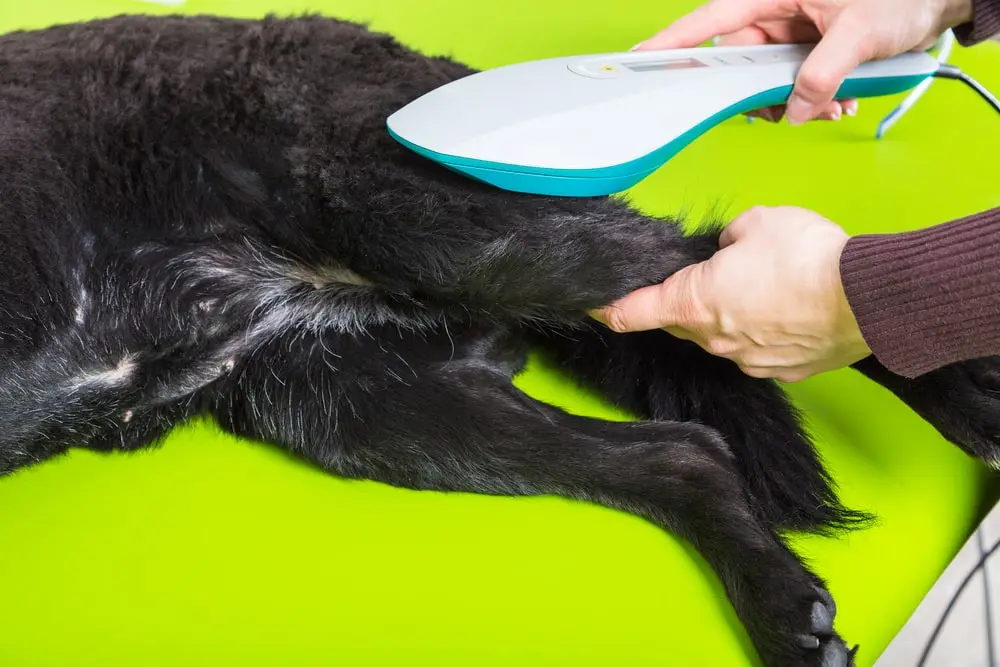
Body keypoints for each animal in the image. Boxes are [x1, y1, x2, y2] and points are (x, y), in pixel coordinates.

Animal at [1, 13, 1000, 664]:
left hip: (439, 222)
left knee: (727, 255)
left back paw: (964, 396)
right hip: (363, 403)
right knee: (686, 450)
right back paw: (782, 607)